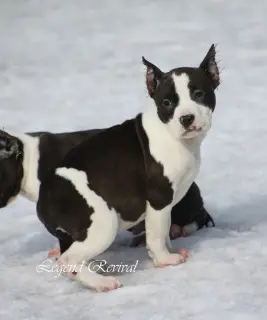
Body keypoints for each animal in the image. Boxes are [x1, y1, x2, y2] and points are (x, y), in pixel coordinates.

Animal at [36, 45, 221, 292]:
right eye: (167, 103)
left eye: (199, 94)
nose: (186, 118)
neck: (172, 134)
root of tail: (44, 197)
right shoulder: (159, 199)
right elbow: (156, 234)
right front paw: (165, 259)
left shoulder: (166, 205)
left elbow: (165, 231)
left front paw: (169, 251)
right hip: (103, 224)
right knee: (68, 260)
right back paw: (102, 283)